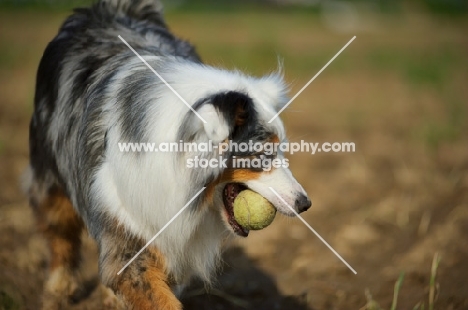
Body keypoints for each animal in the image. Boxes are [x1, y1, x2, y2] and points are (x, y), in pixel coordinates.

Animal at [25, 1, 310, 308]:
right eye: (263, 153)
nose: (305, 203)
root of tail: (109, 10)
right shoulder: (127, 224)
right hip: (50, 173)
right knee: (59, 229)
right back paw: (60, 287)